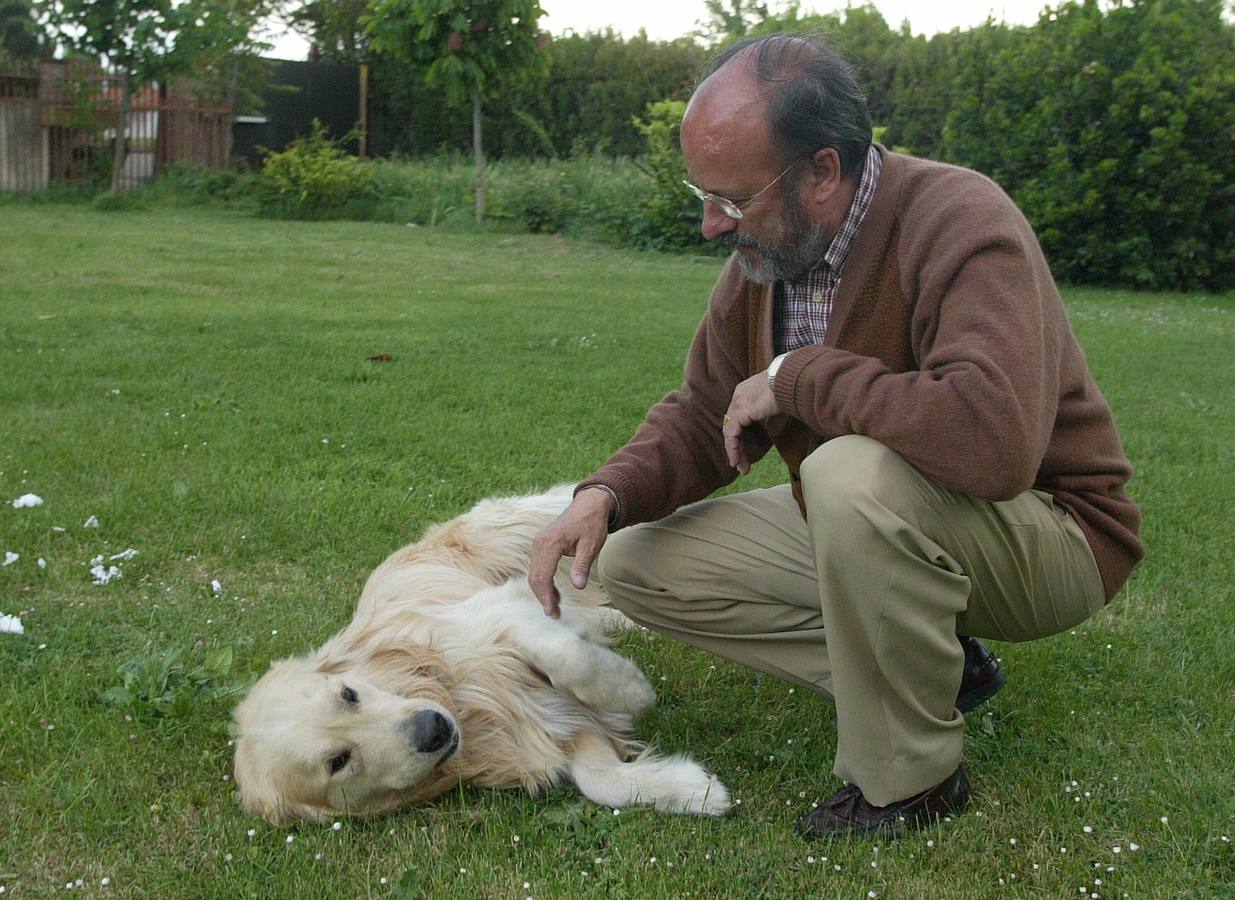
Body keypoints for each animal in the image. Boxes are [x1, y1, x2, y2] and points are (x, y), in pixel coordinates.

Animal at [233, 483, 731, 819]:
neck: (466, 706)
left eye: (348, 694)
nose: (432, 729)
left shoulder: (503, 607)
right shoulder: (551, 727)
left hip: (533, 528)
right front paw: (693, 790)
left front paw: (631, 690)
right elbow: (601, 782)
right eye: (338, 761)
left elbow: (566, 656)